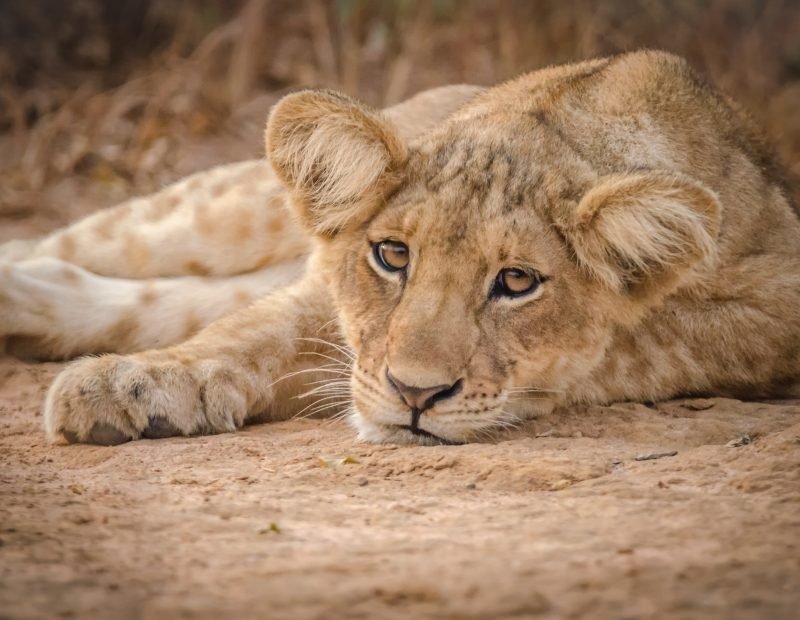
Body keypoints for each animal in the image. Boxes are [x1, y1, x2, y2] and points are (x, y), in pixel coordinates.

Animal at [2, 50, 799, 446]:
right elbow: (263, 328)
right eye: (392, 256)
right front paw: (139, 384)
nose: (416, 396)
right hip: (224, 210)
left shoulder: (774, 307)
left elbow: (639, 338)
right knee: (96, 242)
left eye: (517, 282)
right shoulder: (323, 286)